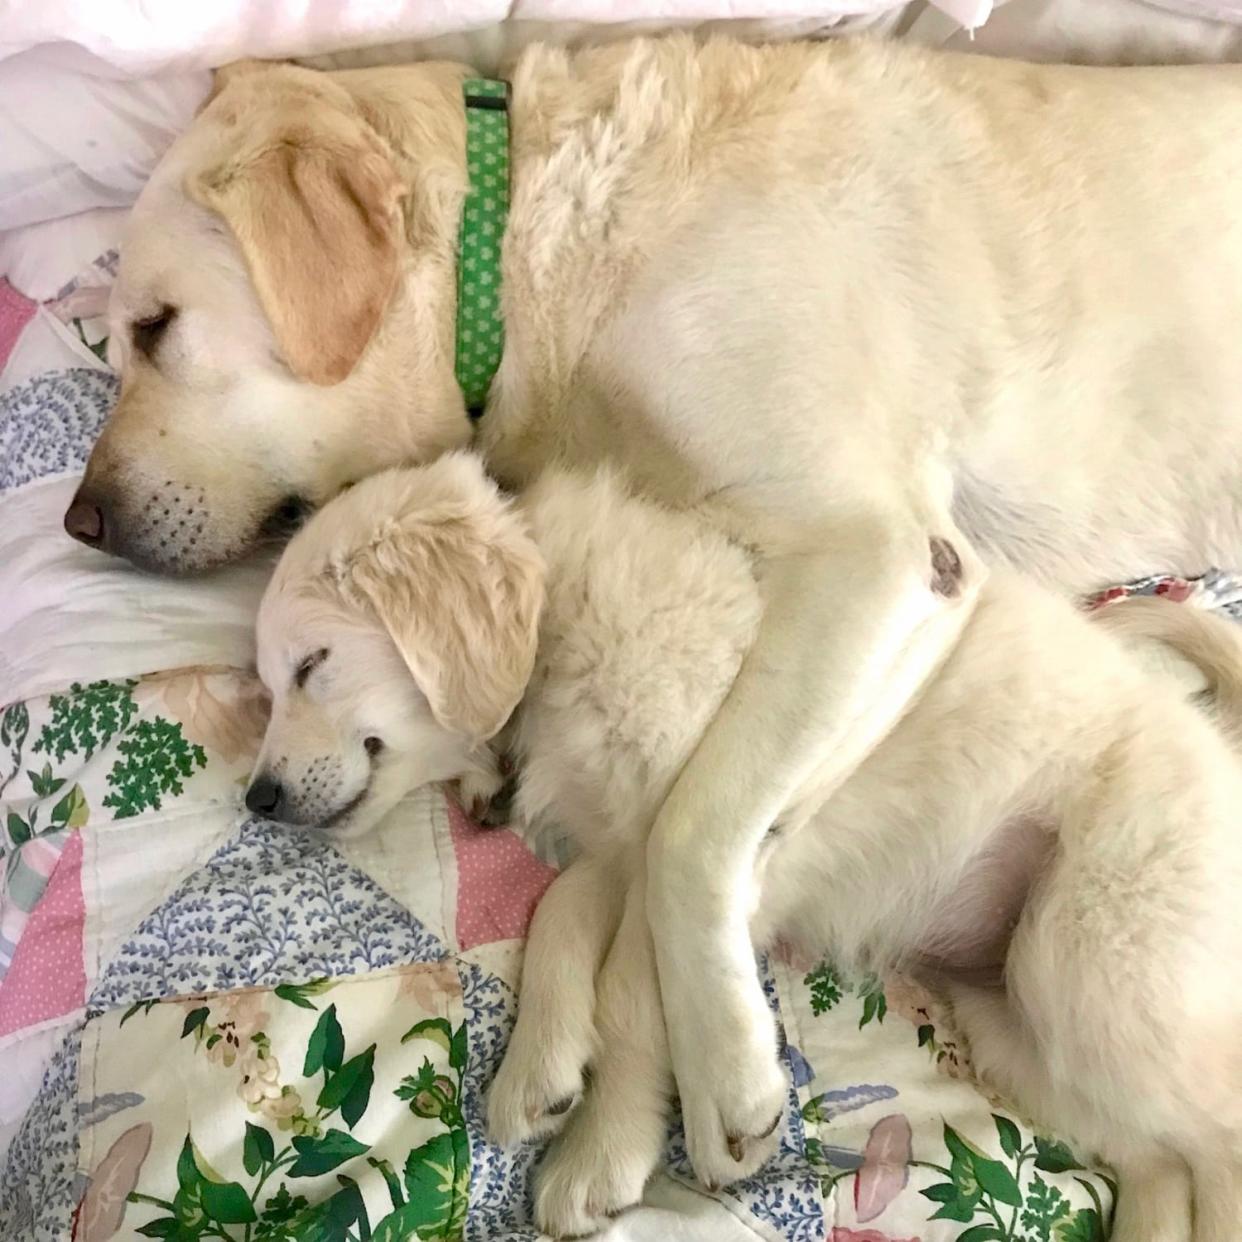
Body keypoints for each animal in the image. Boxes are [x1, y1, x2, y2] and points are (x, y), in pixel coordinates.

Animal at [249, 454, 1242, 1232]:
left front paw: (600, 1155)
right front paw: (541, 1069)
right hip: (1020, 1024)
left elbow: (639, 995)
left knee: (1219, 1140)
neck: (565, 619)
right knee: (1161, 1155)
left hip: (1094, 963)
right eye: (269, 684)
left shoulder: (708, 850)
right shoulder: (620, 841)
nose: (257, 797)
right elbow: (561, 916)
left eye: (311, 666)